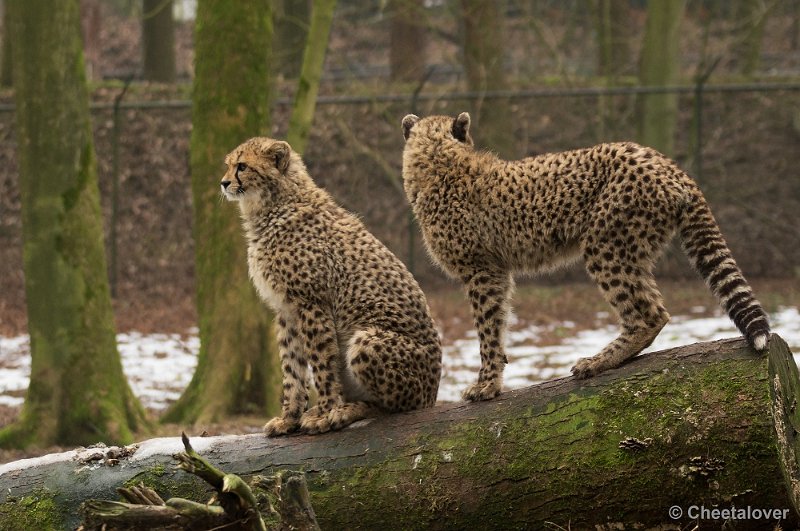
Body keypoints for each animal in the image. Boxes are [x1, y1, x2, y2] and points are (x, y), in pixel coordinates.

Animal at [222, 138, 440, 436]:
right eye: (229, 165)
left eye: (242, 166)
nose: (223, 183)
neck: (272, 205)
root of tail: (433, 394)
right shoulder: (286, 309)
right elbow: (292, 368)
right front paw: (289, 418)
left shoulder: (311, 303)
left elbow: (321, 361)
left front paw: (324, 413)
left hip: (365, 341)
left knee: (393, 407)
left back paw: (347, 410)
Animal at [404, 113, 772, 404]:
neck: (439, 160)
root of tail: (665, 162)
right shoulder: (496, 270)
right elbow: (499, 323)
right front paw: (492, 380)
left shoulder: (481, 271)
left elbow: (487, 331)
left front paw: (487, 385)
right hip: (628, 249)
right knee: (655, 307)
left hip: (604, 244)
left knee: (650, 314)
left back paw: (598, 361)